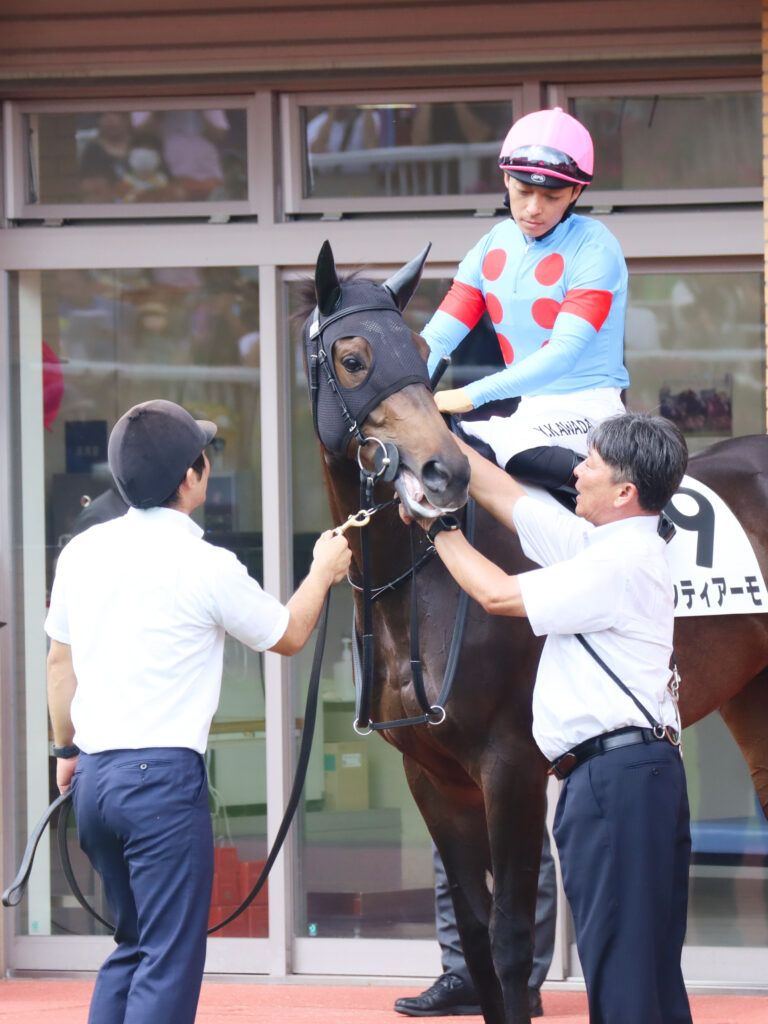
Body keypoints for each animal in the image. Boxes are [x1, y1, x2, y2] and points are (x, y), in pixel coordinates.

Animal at [301, 240, 768, 1024]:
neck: (421, 589)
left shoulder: (510, 766)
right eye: (355, 358)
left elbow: (513, 941)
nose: (445, 472)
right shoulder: (433, 778)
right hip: (752, 696)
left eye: (420, 358)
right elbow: (475, 937)